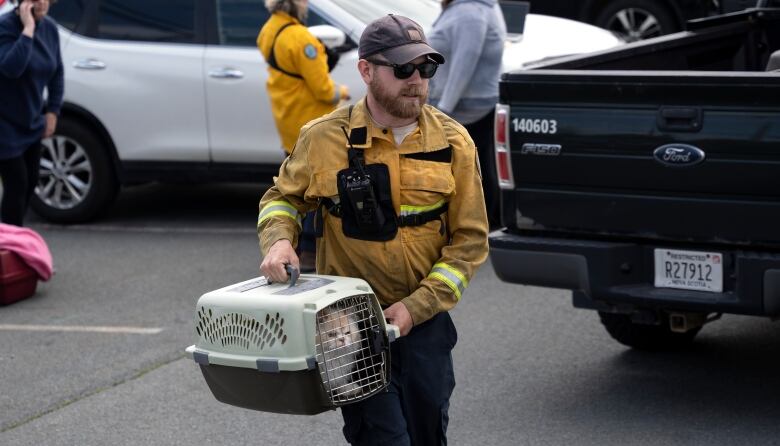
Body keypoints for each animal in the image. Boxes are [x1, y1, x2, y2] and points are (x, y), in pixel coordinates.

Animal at [186, 272, 400, 414]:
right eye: (331, 334)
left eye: (348, 332)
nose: (342, 339)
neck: (334, 359)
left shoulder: (338, 376)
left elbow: (341, 386)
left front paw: (351, 389)